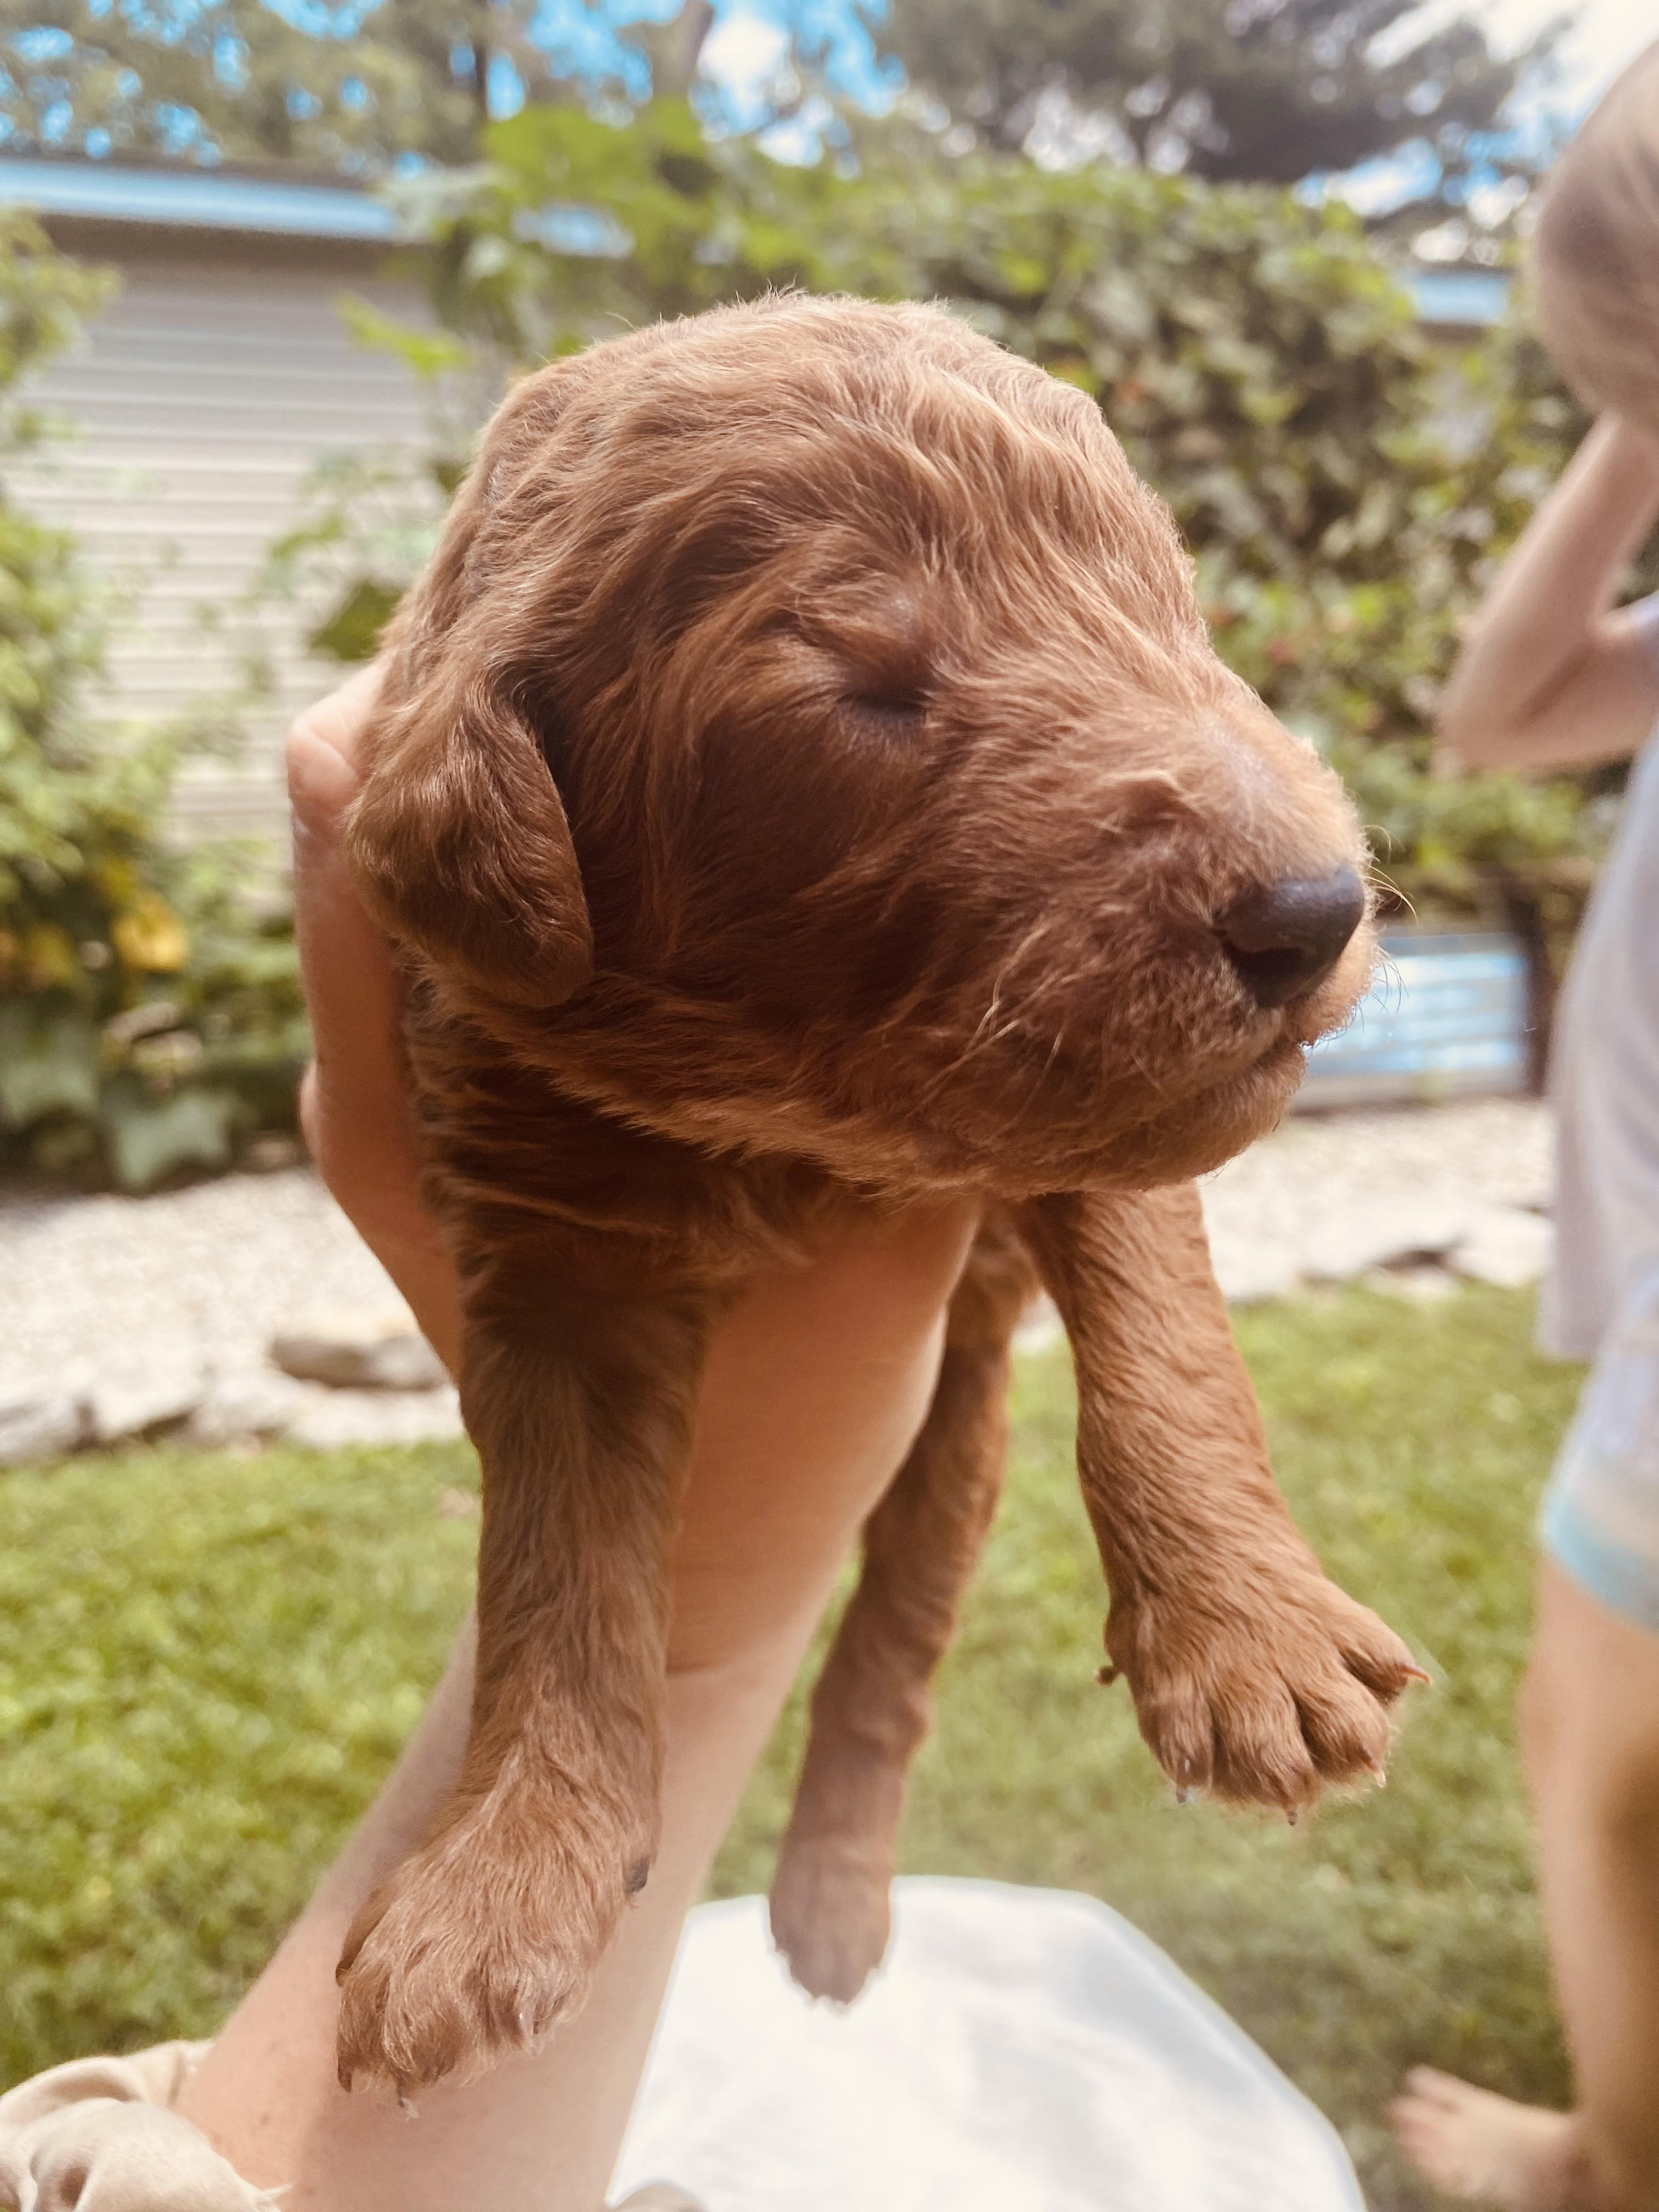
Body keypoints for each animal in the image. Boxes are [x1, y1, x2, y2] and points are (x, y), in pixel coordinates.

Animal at [336, 292, 1420, 2092]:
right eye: (862, 688)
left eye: (1168, 604)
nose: (1314, 906)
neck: (800, 1113)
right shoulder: (542, 1235)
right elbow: (557, 1564)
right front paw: (500, 1876)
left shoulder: (1091, 1128)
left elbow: (1168, 1353)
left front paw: (1250, 1634)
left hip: (951, 1447)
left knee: (890, 1658)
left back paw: (837, 1908)